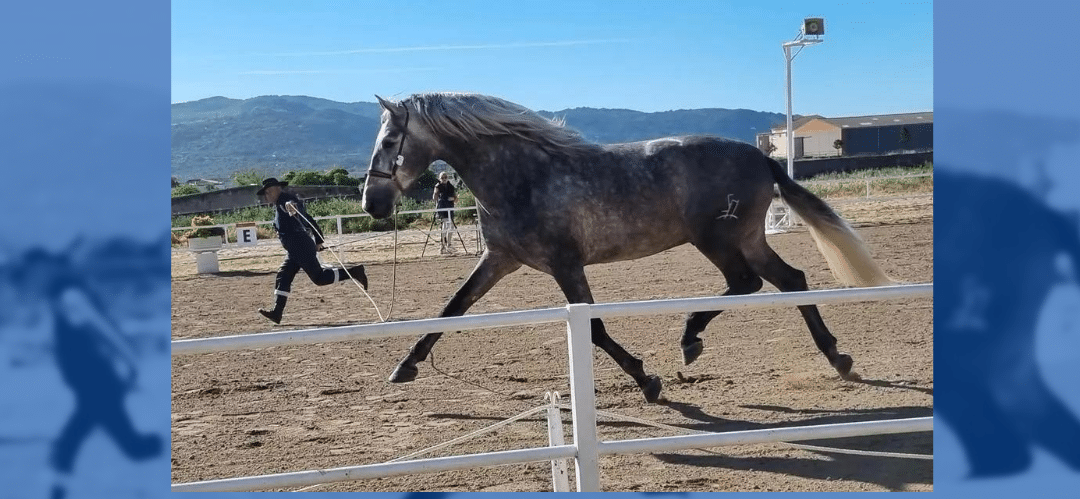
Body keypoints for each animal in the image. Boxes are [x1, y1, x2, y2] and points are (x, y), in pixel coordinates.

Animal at [361, 92, 893, 403]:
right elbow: (451, 309)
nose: (371, 203)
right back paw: (837, 358)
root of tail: (762, 156)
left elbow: (595, 329)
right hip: (746, 238)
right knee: (790, 281)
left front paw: (647, 381)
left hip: (717, 239)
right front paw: (404, 366)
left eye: (389, 140)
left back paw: (690, 339)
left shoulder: (566, 264)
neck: (522, 177)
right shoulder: (500, 260)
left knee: (747, 283)